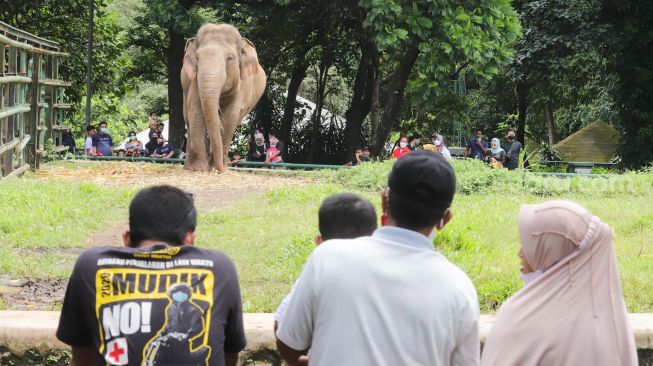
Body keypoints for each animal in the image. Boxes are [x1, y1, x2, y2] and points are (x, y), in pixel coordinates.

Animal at [181, 23, 264, 172]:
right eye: (197, 58)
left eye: (230, 58)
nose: (220, 170)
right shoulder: (194, 81)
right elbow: (196, 111)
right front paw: (198, 169)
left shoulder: (242, 85)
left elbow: (230, 116)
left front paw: (216, 168)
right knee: (188, 120)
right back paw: (190, 167)